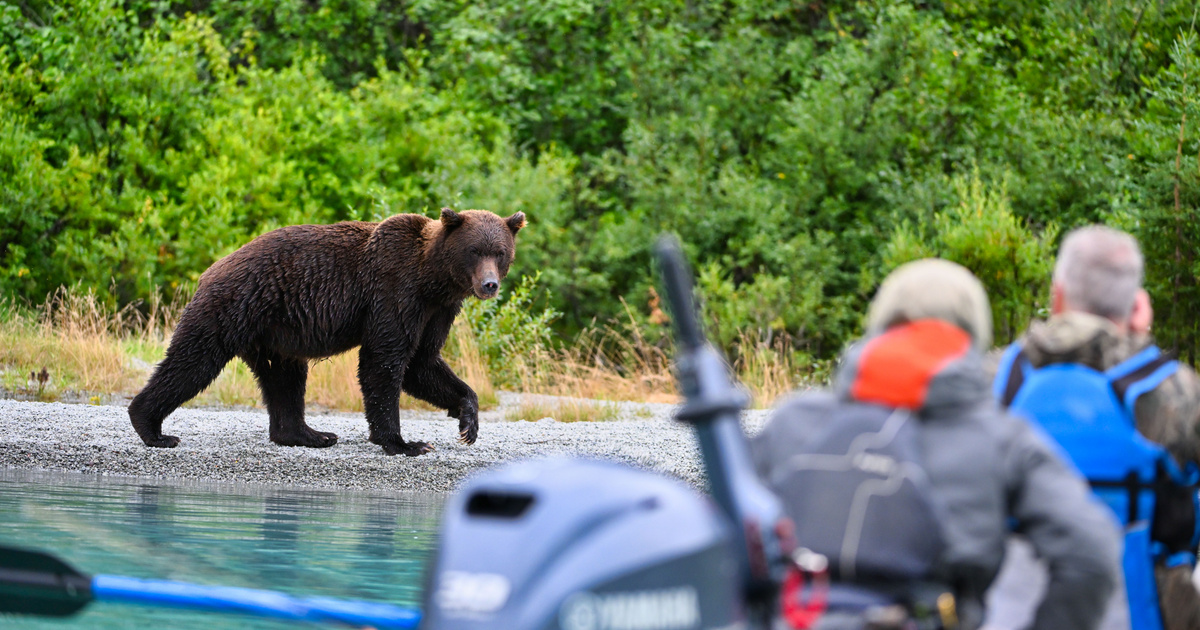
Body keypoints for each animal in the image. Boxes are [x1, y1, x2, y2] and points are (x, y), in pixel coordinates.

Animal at [129, 208, 523, 453]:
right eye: (475, 250)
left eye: (500, 252)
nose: (489, 284)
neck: (433, 278)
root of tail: (209, 271)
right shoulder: (394, 293)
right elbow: (385, 361)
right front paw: (405, 443)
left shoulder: (438, 311)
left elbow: (422, 363)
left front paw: (468, 422)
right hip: (232, 307)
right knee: (193, 361)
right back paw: (152, 427)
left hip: (273, 333)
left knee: (285, 378)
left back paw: (310, 434)